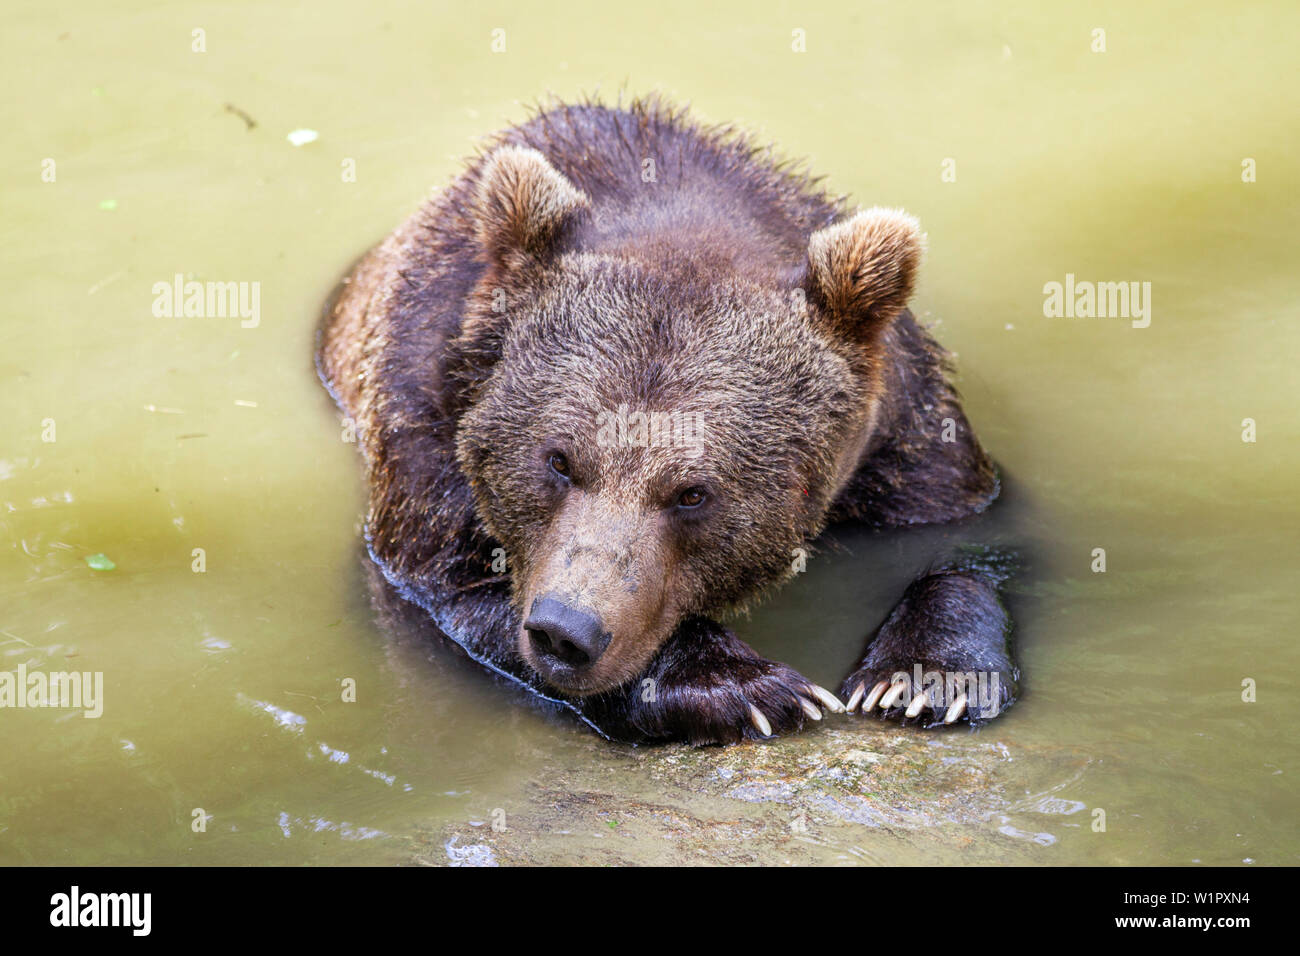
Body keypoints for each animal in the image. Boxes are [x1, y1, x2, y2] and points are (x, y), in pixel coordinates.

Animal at [317, 96, 1017, 745]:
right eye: (558, 460)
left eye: (692, 493)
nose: (566, 632)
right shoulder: (428, 413)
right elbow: (453, 588)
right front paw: (744, 686)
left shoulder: (904, 434)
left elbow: (970, 537)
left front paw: (924, 678)